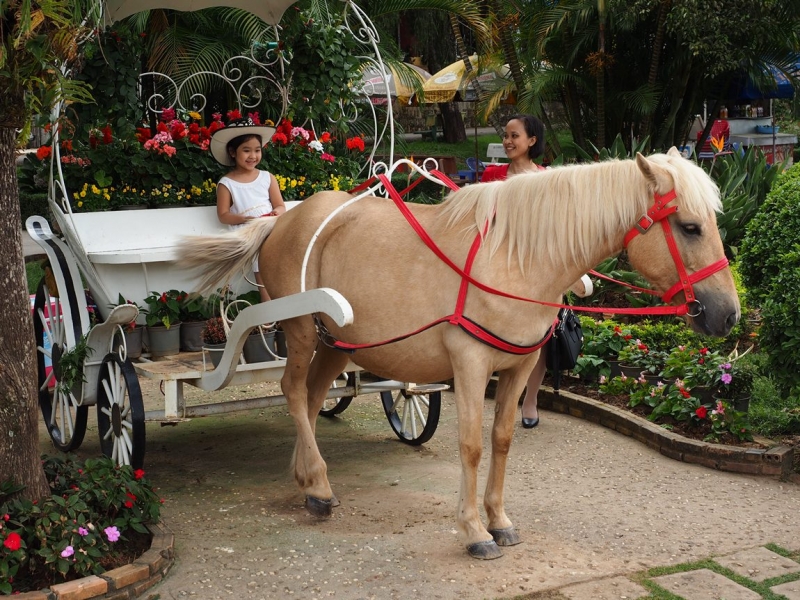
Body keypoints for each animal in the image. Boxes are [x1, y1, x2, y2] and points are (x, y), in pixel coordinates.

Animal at [178, 148, 740, 560]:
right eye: (689, 227)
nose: (729, 314)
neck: (515, 257)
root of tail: (283, 219)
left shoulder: (519, 366)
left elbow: (503, 440)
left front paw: (500, 519)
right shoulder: (470, 366)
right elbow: (471, 445)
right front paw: (473, 529)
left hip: (338, 342)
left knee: (314, 397)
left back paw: (308, 475)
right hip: (299, 331)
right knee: (294, 392)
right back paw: (316, 484)